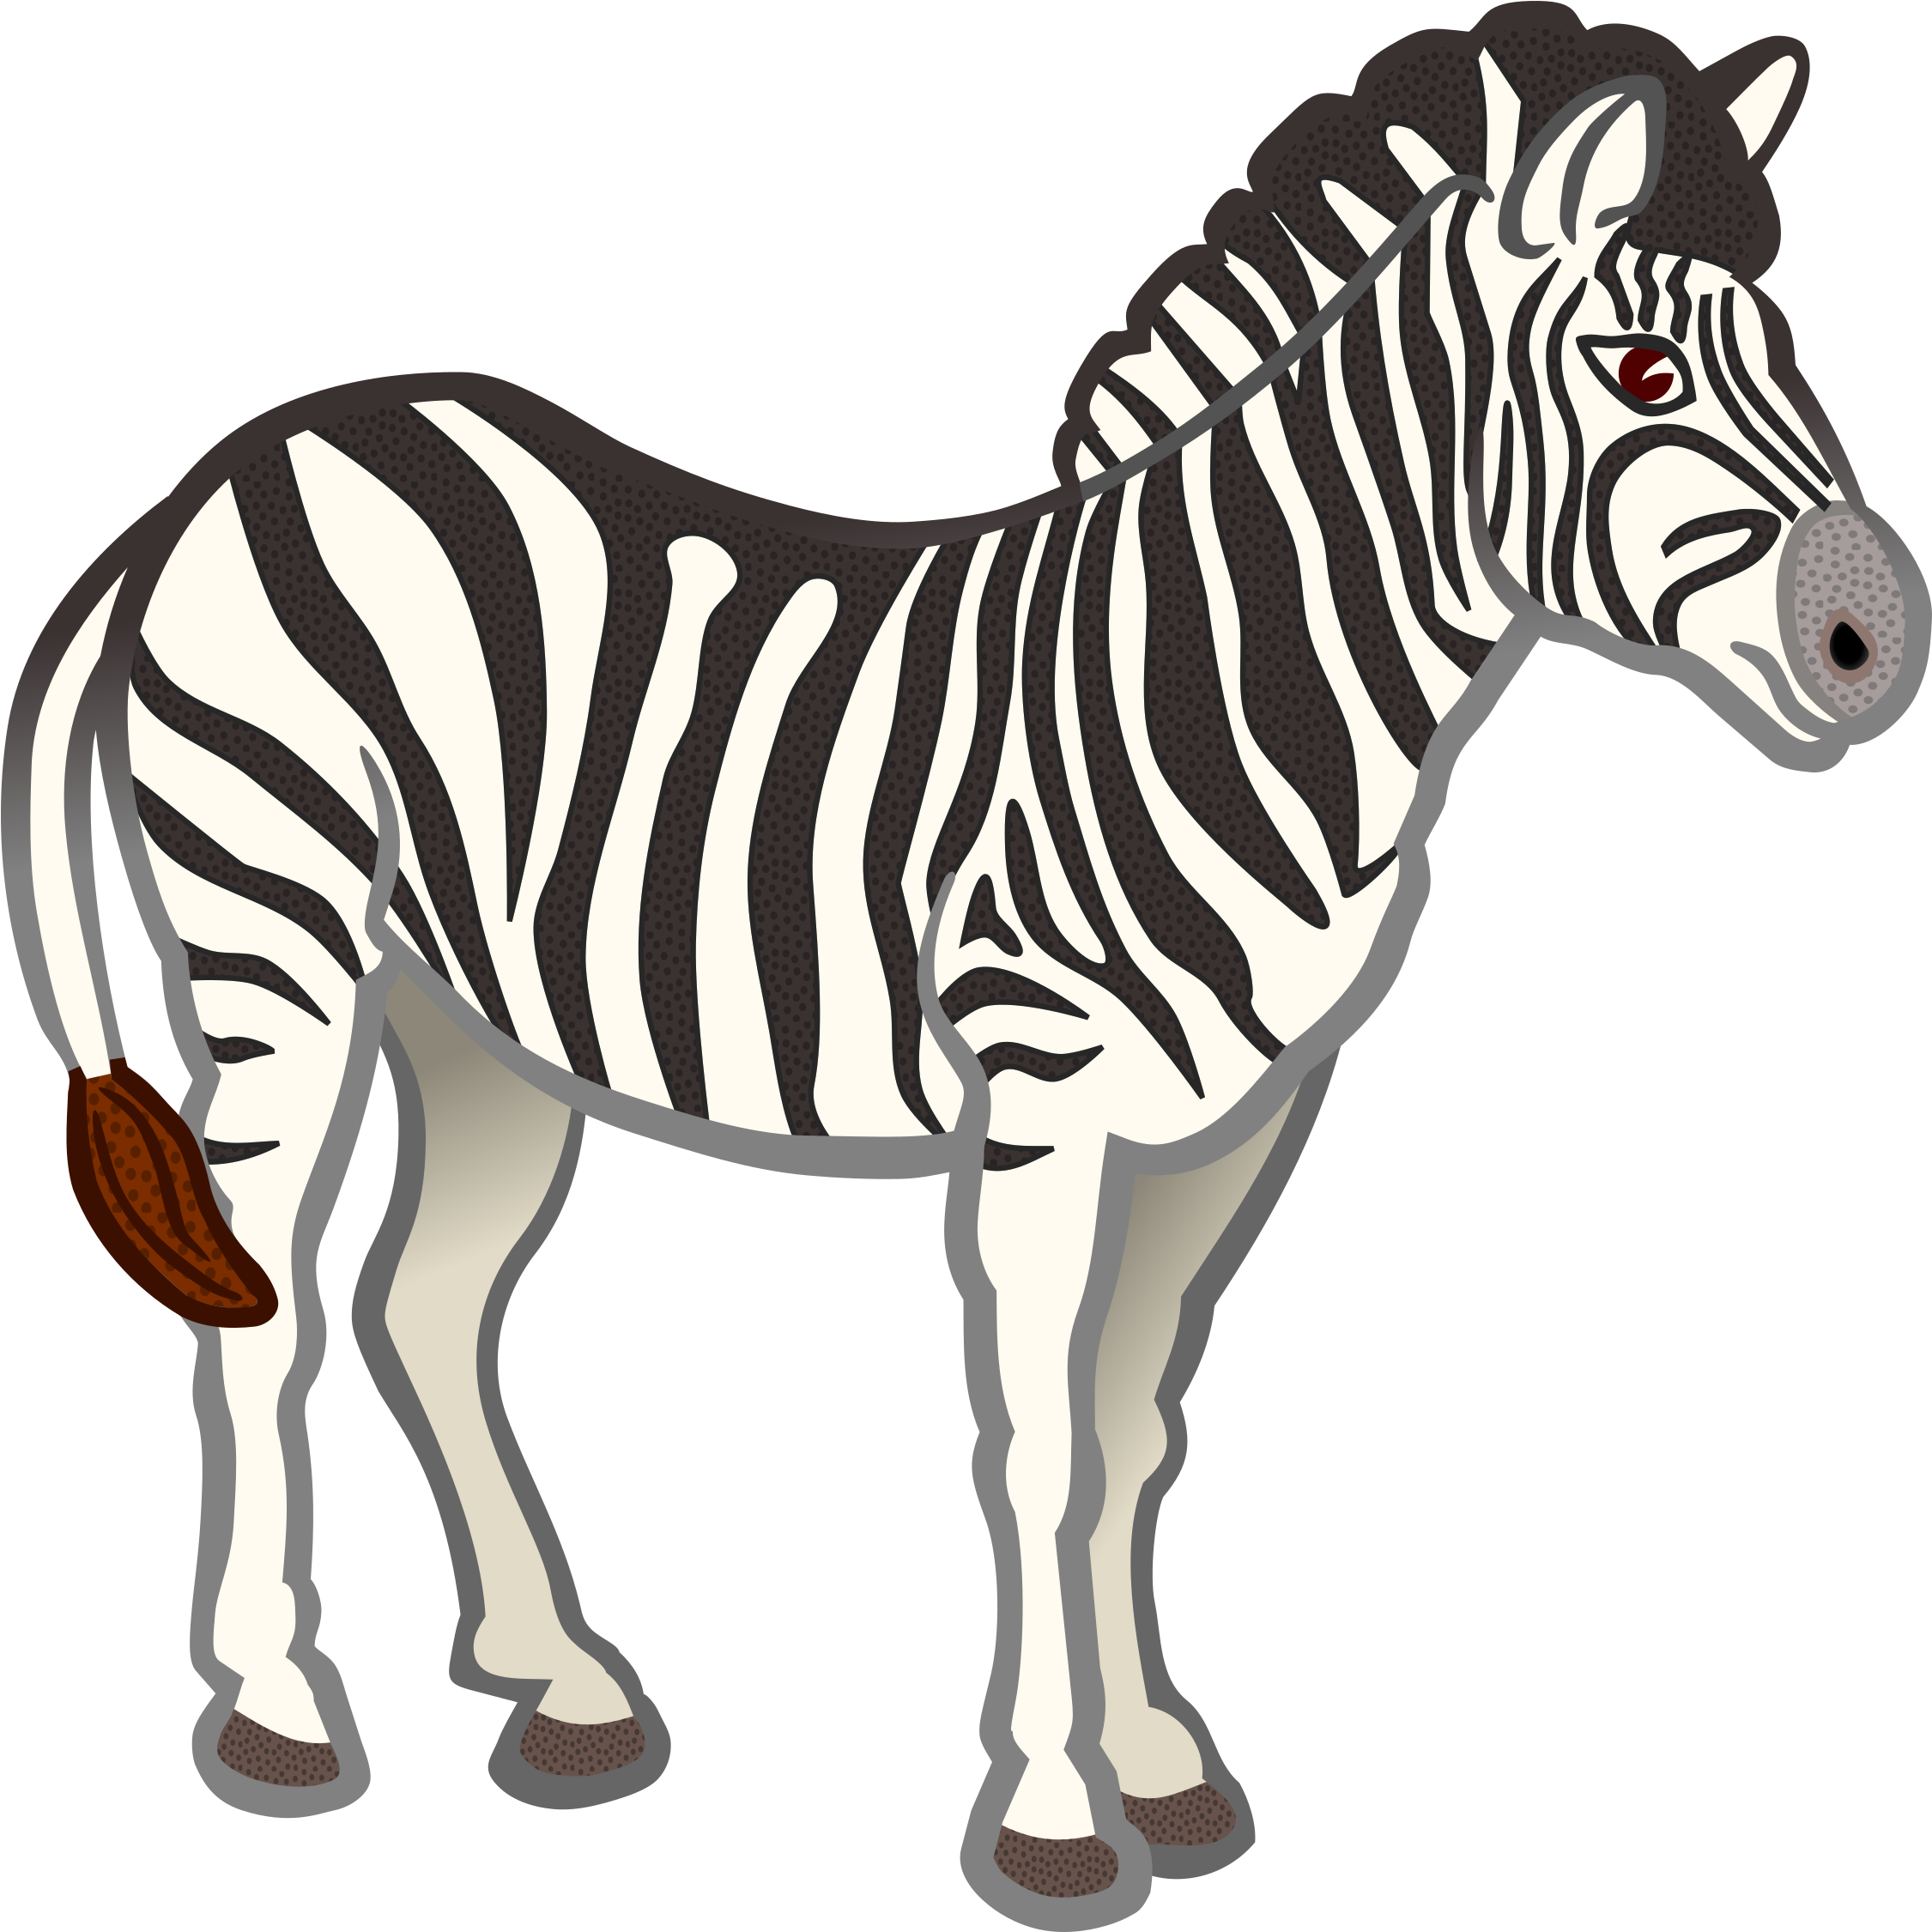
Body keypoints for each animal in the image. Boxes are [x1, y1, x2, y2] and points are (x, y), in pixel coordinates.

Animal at [5, 8, 1922, 1925]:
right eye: (1644, 372)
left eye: (1778, 354)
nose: (1878, 650)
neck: (1234, 677)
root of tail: (218, 481)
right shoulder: (1044, 1093)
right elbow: (1045, 1447)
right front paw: (1056, 1821)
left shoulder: (1235, 1124)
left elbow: (1137, 1430)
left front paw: (1168, 1773)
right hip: (278, 929)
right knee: (266, 1295)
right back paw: (278, 1716)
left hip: (472, 1014)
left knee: (428, 1300)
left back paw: (563, 1691)